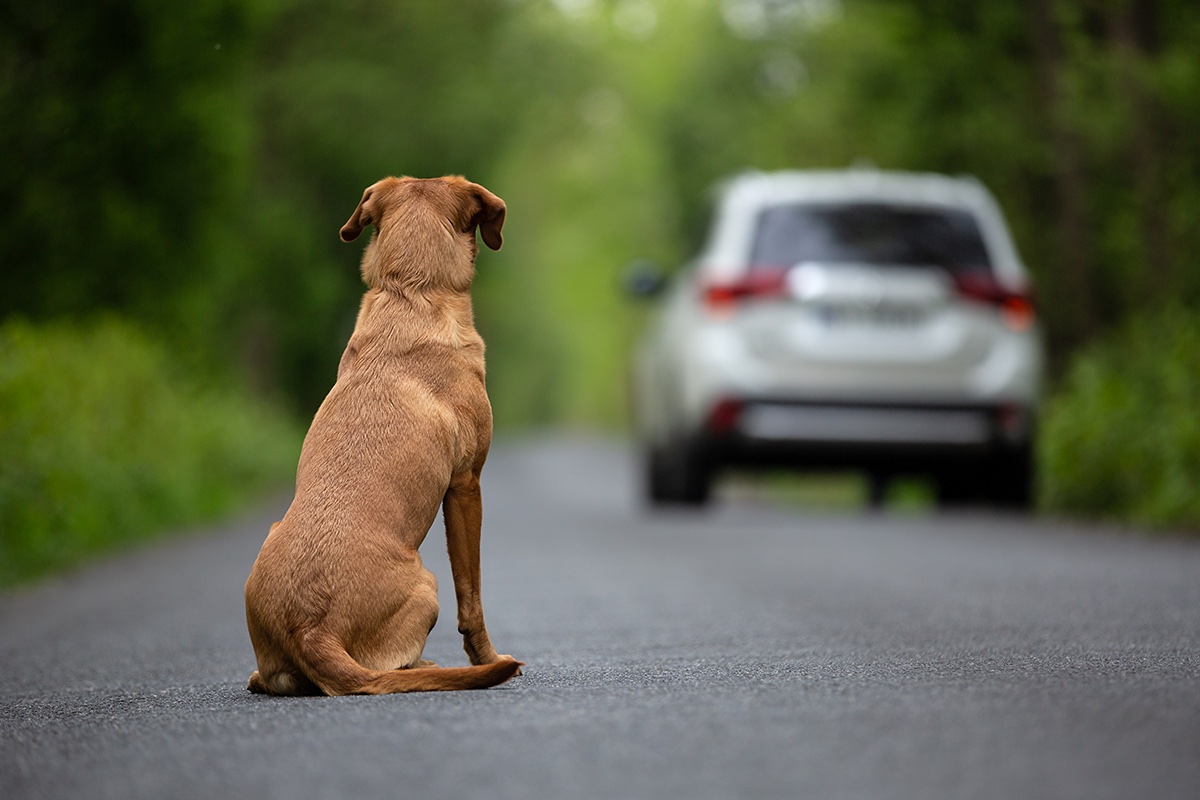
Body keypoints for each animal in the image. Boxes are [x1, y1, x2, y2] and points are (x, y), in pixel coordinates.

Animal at [243, 175, 520, 695]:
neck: (411, 291)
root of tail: (311, 630)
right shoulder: (466, 484)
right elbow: (472, 596)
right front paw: (487, 657)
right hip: (427, 584)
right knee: (393, 666)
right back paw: (431, 666)